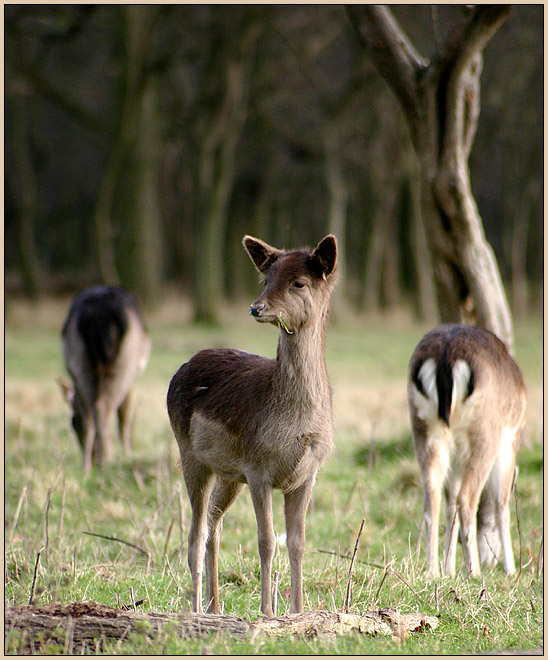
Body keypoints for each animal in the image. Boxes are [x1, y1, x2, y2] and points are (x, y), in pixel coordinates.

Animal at [61, 286, 150, 472]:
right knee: (104, 409)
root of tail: (99, 314)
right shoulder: (131, 382)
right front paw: (127, 453)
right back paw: (107, 462)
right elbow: (124, 417)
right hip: (125, 363)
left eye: (73, 423)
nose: (94, 458)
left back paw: (88, 466)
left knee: (93, 413)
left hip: (81, 363)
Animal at [167, 235, 338, 616]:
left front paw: (297, 612)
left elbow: (298, 543)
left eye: (298, 283)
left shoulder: (308, 473)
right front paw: (267, 612)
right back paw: (197, 609)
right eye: (266, 279)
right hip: (191, 455)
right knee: (196, 533)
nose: (256, 308)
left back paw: (216, 607)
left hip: (230, 474)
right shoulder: (259, 467)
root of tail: (182, 367)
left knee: (214, 524)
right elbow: (266, 541)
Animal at [406, 324, 528, 576]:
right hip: (485, 435)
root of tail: (446, 359)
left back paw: (433, 570)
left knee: (433, 499)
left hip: (424, 429)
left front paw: (449, 569)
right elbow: (502, 503)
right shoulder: (510, 441)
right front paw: (511, 570)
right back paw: (475, 571)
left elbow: (450, 502)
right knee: (467, 498)